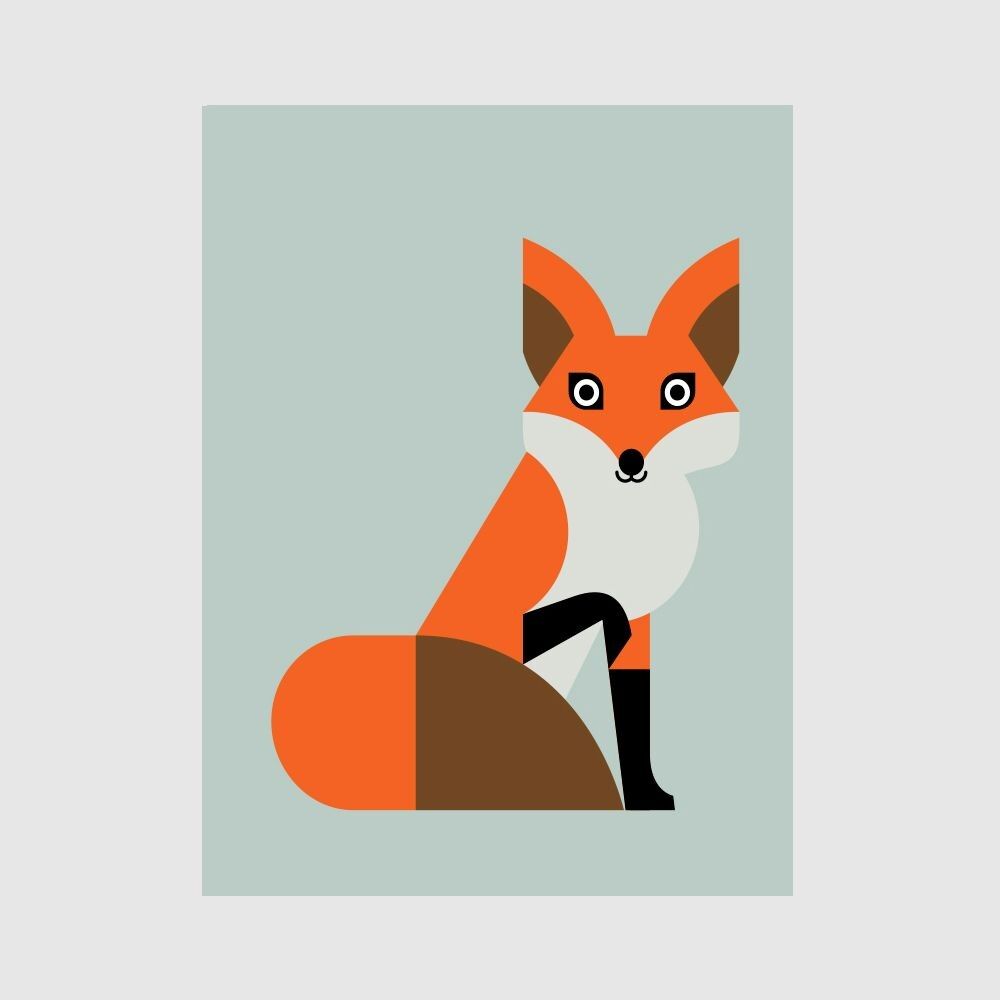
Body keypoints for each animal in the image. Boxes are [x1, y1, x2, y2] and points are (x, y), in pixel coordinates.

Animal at [271, 238, 739, 811]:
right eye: (585, 393)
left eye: (677, 393)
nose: (631, 460)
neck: (625, 523)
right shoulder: (512, 613)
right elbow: (601, 604)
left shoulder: (644, 625)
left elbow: (635, 717)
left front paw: (646, 796)